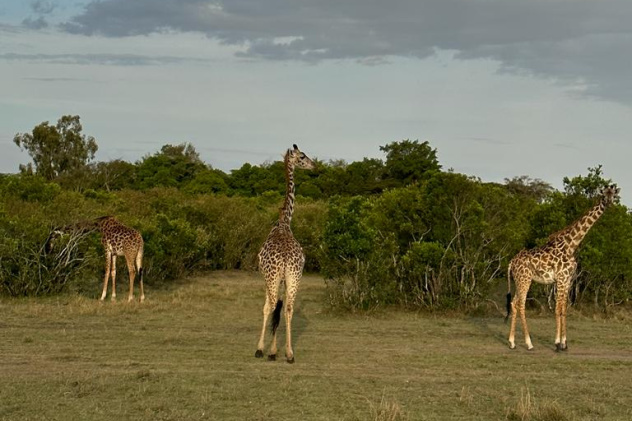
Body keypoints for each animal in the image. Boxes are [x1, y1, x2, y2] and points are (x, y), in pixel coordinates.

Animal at [254, 144, 316, 360]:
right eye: (303, 156)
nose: (314, 166)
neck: (284, 221)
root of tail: (286, 259)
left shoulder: (268, 277)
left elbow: (269, 309)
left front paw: (269, 349)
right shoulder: (283, 278)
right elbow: (280, 309)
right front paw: (275, 350)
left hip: (275, 277)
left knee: (272, 306)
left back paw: (262, 350)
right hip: (295, 276)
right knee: (288, 308)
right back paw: (289, 353)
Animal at [506, 185, 620, 352]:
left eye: (614, 196)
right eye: (604, 196)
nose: (609, 205)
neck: (571, 245)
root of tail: (511, 262)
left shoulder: (567, 280)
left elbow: (564, 308)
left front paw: (565, 344)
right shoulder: (561, 278)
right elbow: (558, 308)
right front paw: (558, 344)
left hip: (518, 280)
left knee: (514, 304)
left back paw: (512, 342)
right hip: (525, 279)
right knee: (521, 305)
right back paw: (529, 343)